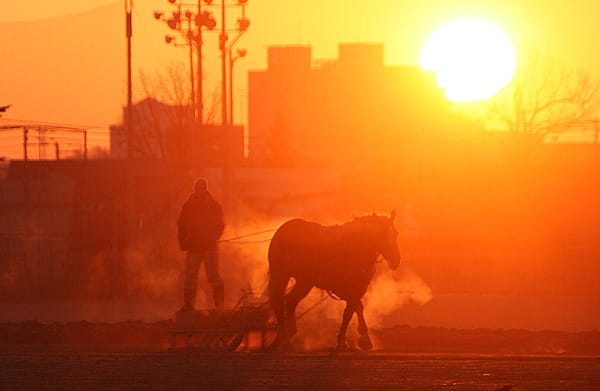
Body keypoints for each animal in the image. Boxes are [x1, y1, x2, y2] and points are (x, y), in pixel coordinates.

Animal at [268, 213, 400, 350]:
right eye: (383, 233)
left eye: (395, 233)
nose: (396, 260)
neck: (355, 247)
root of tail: (283, 229)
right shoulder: (347, 288)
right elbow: (351, 311)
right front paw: (347, 340)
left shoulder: (358, 288)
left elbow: (355, 309)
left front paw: (362, 339)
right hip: (281, 276)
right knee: (279, 302)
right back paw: (283, 338)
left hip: (304, 282)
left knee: (290, 300)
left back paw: (288, 333)